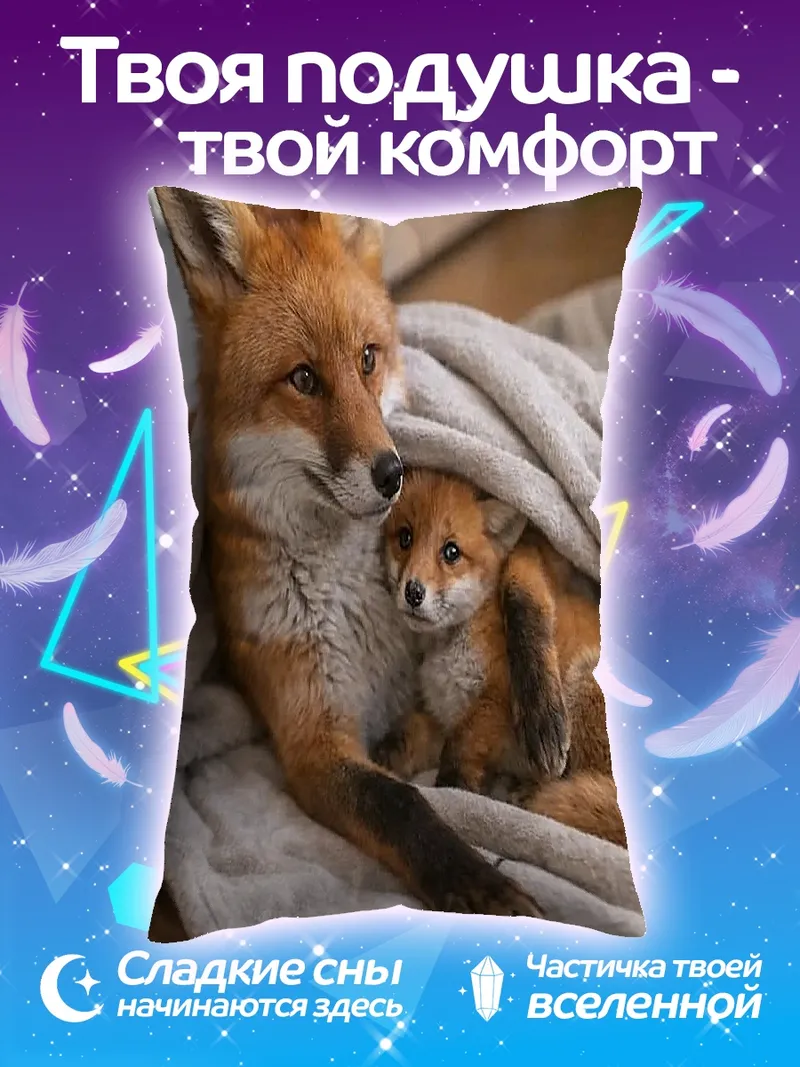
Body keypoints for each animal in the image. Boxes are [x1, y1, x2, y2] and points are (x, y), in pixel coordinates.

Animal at [154, 187, 541, 917]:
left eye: (368, 358)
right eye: (303, 379)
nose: (394, 473)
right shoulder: (312, 742)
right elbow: (403, 802)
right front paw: (477, 882)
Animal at [384, 469, 627, 848]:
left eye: (451, 552)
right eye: (405, 538)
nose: (413, 592)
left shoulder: (494, 703)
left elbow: (459, 752)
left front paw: (456, 795)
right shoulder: (442, 716)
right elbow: (408, 736)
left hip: (578, 689)